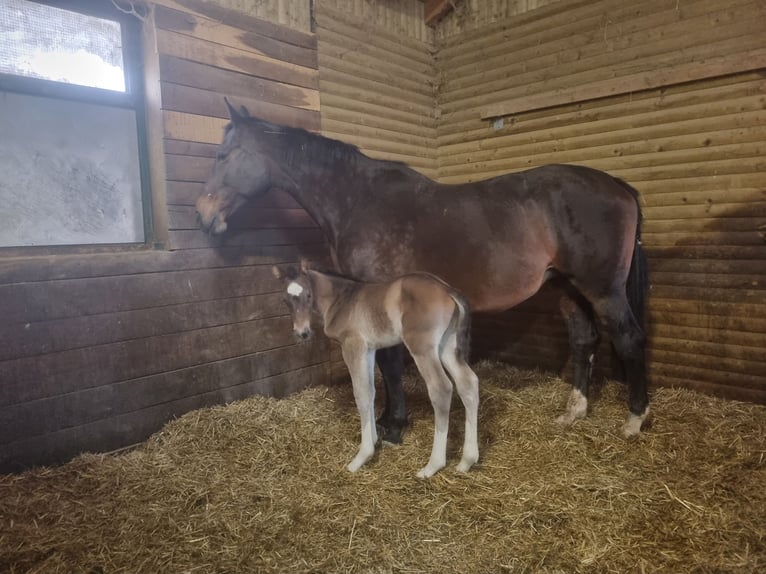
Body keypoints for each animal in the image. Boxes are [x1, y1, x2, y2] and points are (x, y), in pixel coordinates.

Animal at [196, 99, 648, 440]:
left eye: (223, 155)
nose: (202, 214)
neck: (358, 200)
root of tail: (619, 186)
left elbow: (391, 364)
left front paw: (393, 426)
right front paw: (387, 420)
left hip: (603, 289)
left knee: (628, 338)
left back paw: (635, 419)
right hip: (568, 287)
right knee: (584, 340)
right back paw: (574, 412)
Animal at [272, 264, 480, 480]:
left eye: (308, 295)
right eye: (285, 300)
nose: (302, 333)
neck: (341, 299)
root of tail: (448, 290)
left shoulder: (352, 345)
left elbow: (361, 394)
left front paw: (362, 456)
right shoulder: (369, 349)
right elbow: (370, 392)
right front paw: (373, 440)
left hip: (422, 347)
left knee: (441, 388)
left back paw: (432, 466)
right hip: (447, 345)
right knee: (468, 383)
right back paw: (467, 461)